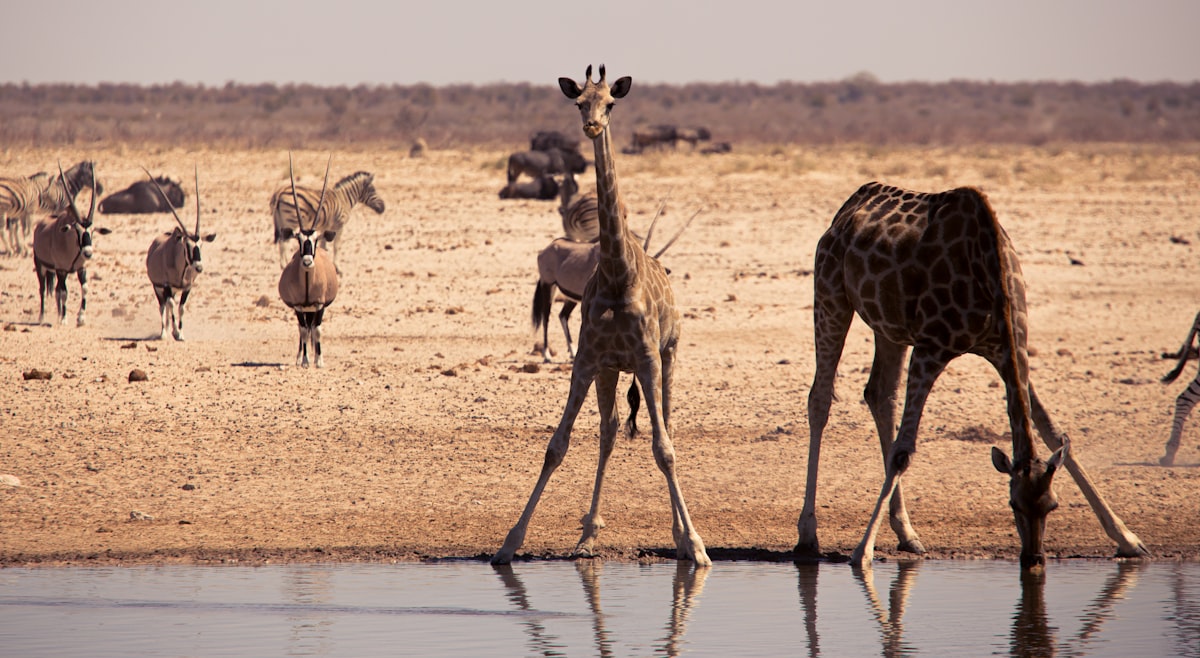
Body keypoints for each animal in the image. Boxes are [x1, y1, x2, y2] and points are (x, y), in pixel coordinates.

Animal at [492, 65, 710, 566]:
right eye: (579, 102)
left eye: (610, 102)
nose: (592, 126)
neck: (616, 275)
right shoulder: (589, 359)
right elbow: (557, 446)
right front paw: (509, 543)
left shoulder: (647, 358)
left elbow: (664, 449)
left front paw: (695, 544)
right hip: (612, 370)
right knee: (609, 432)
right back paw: (589, 534)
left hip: (668, 356)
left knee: (667, 427)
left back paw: (680, 536)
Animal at [797, 181, 1148, 570]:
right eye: (1012, 504)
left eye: (1052, 505)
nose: (1033, 558)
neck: (991, 275)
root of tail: (848, 207)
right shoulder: (931, 347)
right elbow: (903, 452)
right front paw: (862, 552)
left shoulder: (1007, 350)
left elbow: (1054, 431)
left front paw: (1129, 539)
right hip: (830, 293)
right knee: (820, 398)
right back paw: (808, 535)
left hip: (891, 327)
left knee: (880, 393)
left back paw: (907, 534)